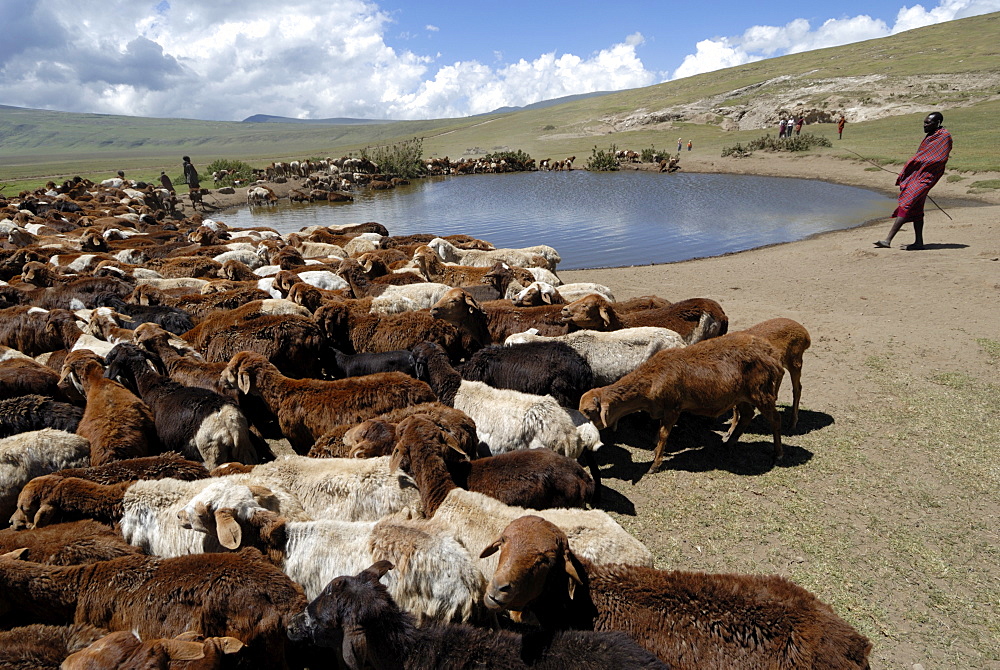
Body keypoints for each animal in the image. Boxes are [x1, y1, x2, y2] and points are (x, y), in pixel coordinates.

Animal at [584, 330, 784, 478]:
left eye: (588, 411)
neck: (651, 379)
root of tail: (771, 354)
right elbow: (659, 432)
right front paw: (655, 450)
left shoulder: (673, 408)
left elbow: (664, 434)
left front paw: (655, 464)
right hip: (740, 396)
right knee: (747, 415)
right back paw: (729, 443)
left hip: (761, 392)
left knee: (775, 419)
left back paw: (778, 453)